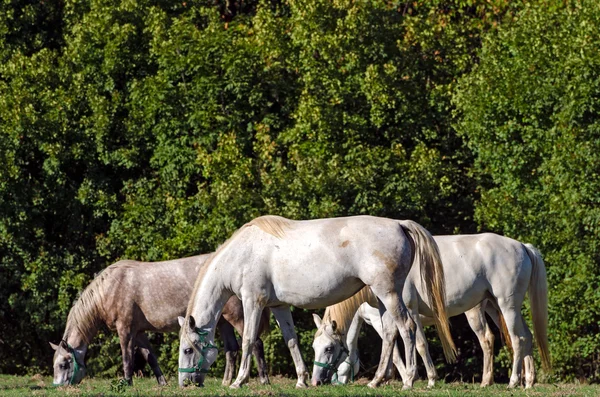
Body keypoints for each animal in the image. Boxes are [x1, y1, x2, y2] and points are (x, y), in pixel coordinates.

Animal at [49, 252, 270, 386]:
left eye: (64, 364)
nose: (58, 386)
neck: (110, 288)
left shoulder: (125, 330)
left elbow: (127, 358)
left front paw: (127, 383)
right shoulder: (139, 332)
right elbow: (150, 357)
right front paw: (162, 382)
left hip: (237, 318)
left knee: (255, 343)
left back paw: (262, 380)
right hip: (223, 321)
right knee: (231, 350)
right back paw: (226, 382)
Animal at [180, 215, 458, 388]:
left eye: (187, 350)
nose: (184, 383)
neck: (241, 254)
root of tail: (399, 224)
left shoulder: (253, 302)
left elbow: (248, 339)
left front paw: (239, 381)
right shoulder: (279, 306)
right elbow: (291, 341)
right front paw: (301, 380)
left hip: (388, 293)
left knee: (407, 328)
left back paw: (409, 380)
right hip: (382, 297)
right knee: (390, 334)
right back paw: (376, 381)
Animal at [312, 232, 552, 386]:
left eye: (329, 348)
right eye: (315, 347)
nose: (317, 381)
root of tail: (522, 246)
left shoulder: (405, 313)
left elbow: (412, 345)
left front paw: (418, 379)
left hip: (504, 306)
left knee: (515, 339)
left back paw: (511, 382)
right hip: (496, 307)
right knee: (526, 336)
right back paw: (526, 382)